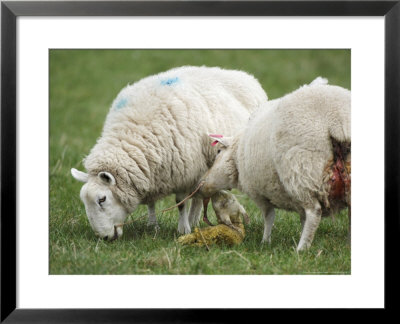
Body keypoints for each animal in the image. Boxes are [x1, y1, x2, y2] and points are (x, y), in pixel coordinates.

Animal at [70, 65, 268, 240]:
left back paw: (192, 221)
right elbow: (151, 202)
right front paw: (153, 226)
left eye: (102, 199)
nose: (104, 238)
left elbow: (180, 203)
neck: (133, 132)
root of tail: (244, 75)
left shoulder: (184, 172)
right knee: (199, 196)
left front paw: (183, 229)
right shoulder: (149, 172)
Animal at [200, 79, 350, 252]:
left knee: (314, 212)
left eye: (218, 151)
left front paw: (265, 241)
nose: (201, 183)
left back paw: (301, 249)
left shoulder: (259, 192)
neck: (238, 153)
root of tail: (337, 119)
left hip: (302, 170)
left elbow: (269, 216)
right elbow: (301, 218)